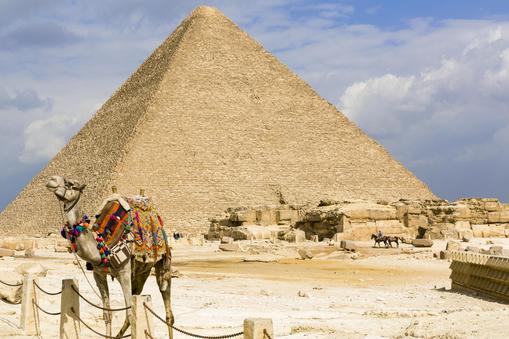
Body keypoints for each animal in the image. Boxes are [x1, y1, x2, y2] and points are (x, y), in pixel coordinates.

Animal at [46, 177, 173, 338]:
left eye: (71, 184)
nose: (52, 180)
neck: (103, 244)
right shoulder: (98, 274)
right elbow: (107, 313)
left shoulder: (124, 273)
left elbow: (130, 314)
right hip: (141, 272)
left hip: (163, 261)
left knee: (167, 305)